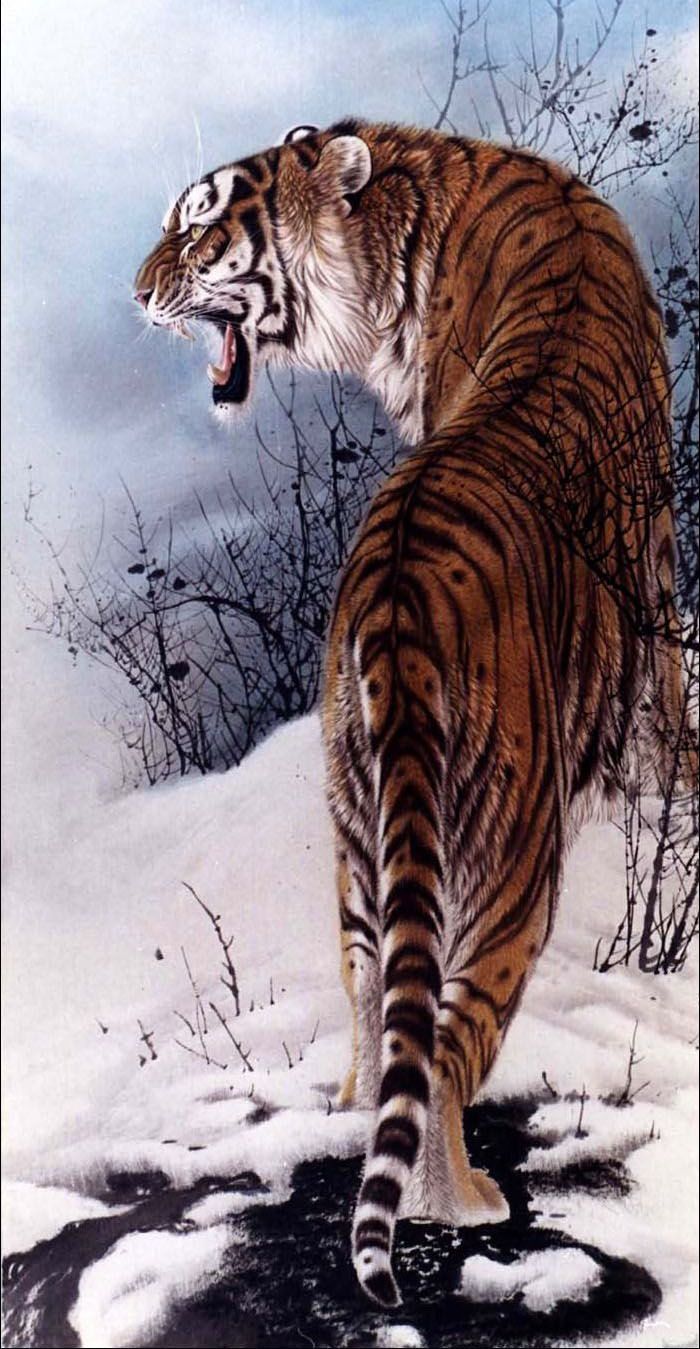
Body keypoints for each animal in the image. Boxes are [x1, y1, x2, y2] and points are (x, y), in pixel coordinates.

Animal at [134, 119, 696, 1308]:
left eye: (199, 225)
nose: (139, 290)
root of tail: (394, 599)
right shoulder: (657, 571)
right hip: (516, 867)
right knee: (443, 1049)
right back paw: (466, 1201)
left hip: (362, 835)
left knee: (370, 995)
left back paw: (348, 1108)